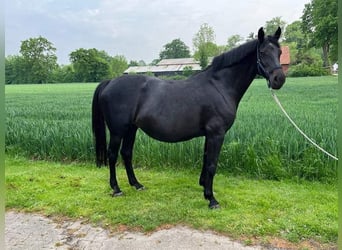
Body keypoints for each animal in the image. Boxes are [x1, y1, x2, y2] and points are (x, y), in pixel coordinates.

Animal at [92, 27, 284, 208]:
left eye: (279, 52)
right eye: (263, 52)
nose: (279, 79)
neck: (219, 86)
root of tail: (109, 82)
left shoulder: (209, 134)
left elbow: (206, 160)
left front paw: (204, 187)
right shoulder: (217, 133)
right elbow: (212, 164)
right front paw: (212, 199)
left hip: (132, 128)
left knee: (126, 153)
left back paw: (137, 184)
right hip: (118, 131)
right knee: (112, 155)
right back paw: (116, 188)